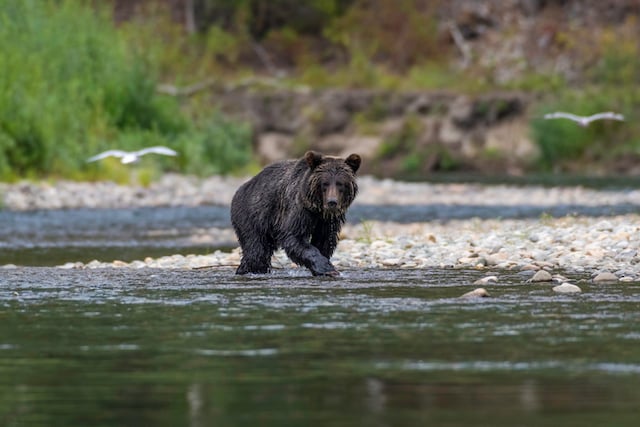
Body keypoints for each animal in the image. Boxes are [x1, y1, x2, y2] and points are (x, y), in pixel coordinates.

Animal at [230, 150, 360, 278]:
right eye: (325, 183)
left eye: (340, 183)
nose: (332, 202)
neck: (317, 210)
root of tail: (242, 188)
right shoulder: (298, 210)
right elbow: (294, 236)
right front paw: (328, 269)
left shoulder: (328, 221)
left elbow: (324, 241)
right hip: (253, 215)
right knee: (256, 252)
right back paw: (247, 270)